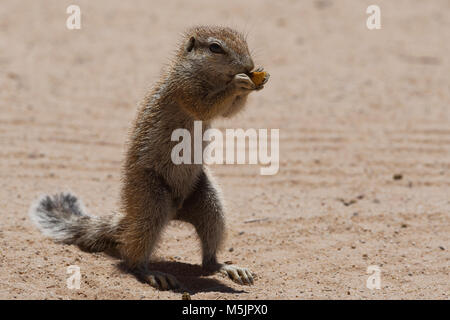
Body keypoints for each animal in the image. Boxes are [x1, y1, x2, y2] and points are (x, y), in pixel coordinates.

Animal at [30, 25, 270, 290]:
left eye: (244, 43)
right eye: (215, 47)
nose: (249, 65)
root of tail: (175, 212)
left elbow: (229, 111)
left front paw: (256, 81)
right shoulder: (184, 88)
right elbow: (205, 105)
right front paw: (239, 83)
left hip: (209, 201)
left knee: (208, 256)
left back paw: (227, 267)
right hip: (151, 201)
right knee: (132, 253)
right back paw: (151, 273)